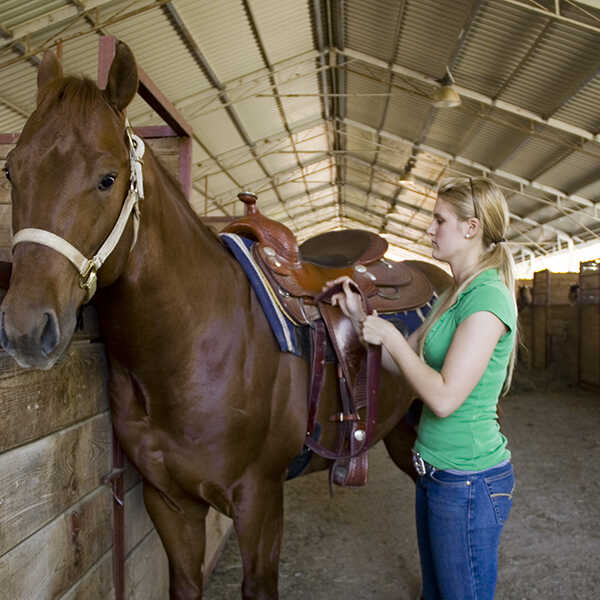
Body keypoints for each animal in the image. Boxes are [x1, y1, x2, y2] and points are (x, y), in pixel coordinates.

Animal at [0, 39, 450, 596]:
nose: (25, 328)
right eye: (11, 170)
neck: (188, 347)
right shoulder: (170, 502)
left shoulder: (259, 500)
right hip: (403, 431)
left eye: (107, 178)